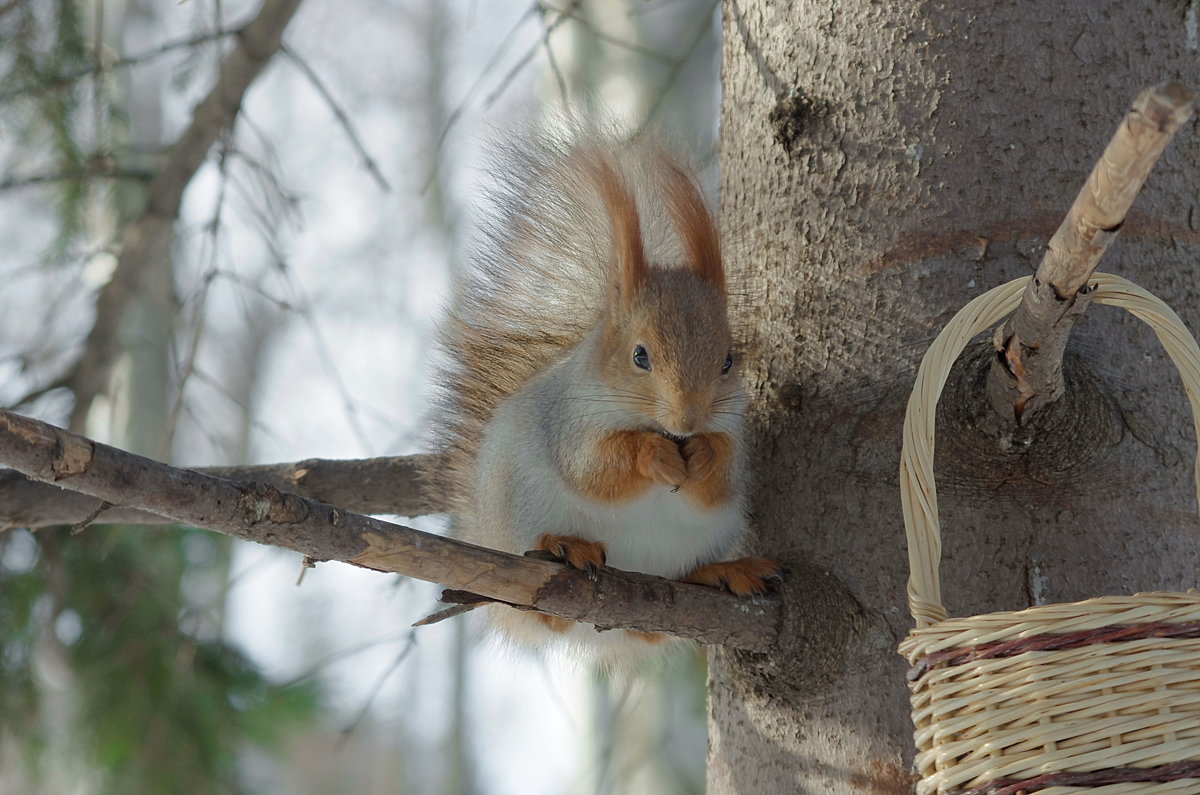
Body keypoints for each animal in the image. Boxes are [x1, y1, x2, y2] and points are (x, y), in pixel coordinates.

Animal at [434, 133, 777, 667]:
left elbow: (721, 479)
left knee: (652, 626)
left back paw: (719, 572)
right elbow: (595, 470)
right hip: (518, 516)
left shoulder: (735, 428)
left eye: (728, 360)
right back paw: (564, 547)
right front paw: (655, 455)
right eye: (639, 355)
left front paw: (702, 455)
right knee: (544, 614)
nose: (688, 420)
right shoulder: (569, 422)